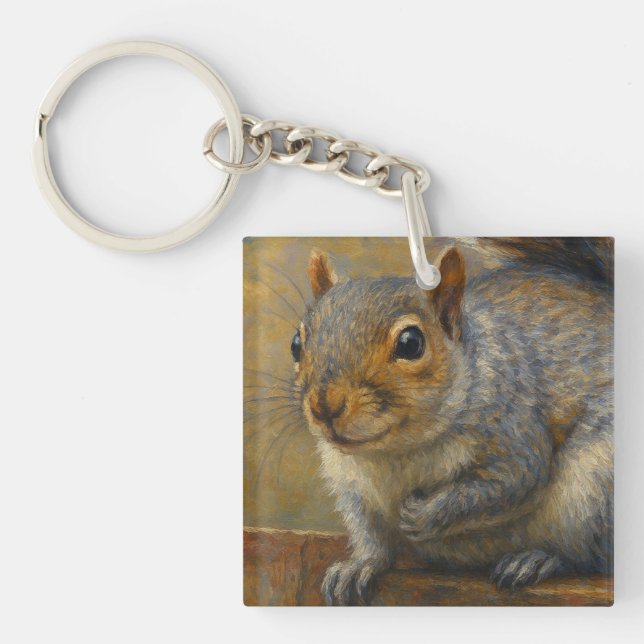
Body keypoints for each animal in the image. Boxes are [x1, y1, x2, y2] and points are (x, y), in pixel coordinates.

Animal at [288, 238, 613, 605]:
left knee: (586, 557)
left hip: (594, 487)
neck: (395, 451)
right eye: (296, 344)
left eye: (411, 343)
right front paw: (360, 565)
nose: (325, 406)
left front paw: (422, 515)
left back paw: (538, 559)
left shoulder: (514, 429)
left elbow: (509, 482)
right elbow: (370, 536)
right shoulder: (353, 487)